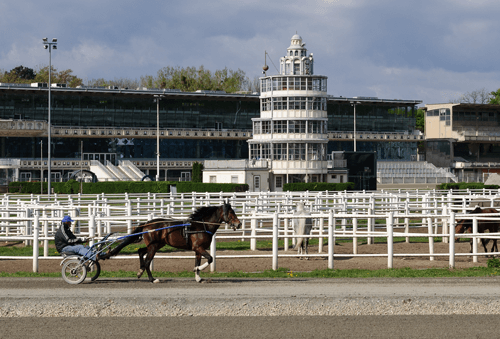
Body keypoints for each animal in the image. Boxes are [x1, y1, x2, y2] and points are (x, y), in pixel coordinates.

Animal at [100, 205, 241, 284]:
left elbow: (198, 261)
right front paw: (197, 270)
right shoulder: (198, 247)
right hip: (153, 246)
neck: (201, 226)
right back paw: (152, 279)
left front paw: (198, 277)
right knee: (147, 261)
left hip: (156, 245)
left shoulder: (198, 250)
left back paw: (140, 271)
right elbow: (210, 258)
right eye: (231, 212)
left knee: (140, 251)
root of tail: (147, 224)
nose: (239, 224)